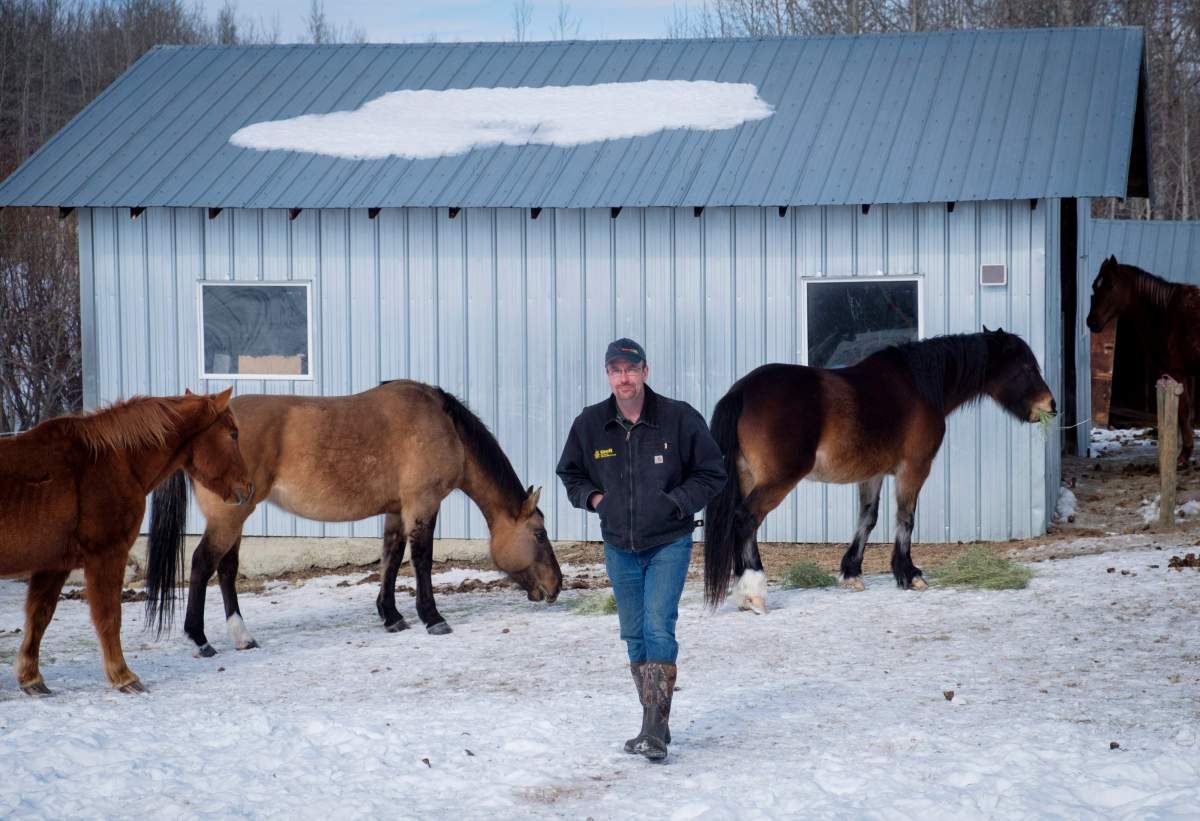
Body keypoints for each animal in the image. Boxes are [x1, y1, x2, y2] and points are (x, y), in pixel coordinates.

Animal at [0, 389, 252, 695]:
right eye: (233, 433)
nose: (248, 488)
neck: (113, 461)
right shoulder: (107, 555)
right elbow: (109, 618)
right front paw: (123, 676)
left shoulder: (54, 565)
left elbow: (39, 616)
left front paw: (31, 678)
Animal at [145, 380, 563, 658]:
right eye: (540, 534)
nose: (556, 587)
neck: (444, 427)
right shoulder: (422, 505)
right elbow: (422, 561)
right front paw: (431, 618)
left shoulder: (396, 510)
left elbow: (391, 559)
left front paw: (392, 616)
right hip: (229, 516)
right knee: (202, 564)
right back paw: (200, 640)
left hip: (237, 516)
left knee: (227, 570)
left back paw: (242, 637)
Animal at [703, 328, 1055, 613]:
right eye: (1026, 367)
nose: (1050, 405)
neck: (919, 387)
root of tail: (742, 391)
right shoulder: (913, 468)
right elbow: (906, 518)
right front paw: (909, 574)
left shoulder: (872, 474)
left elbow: (868, 519)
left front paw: (852, 573)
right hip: (777, 480)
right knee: (746, 519)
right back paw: (754, 593)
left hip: (748, 476)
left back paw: (744, 593)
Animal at [1086, 255, 1200, 464]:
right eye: (1094, 286)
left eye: (1110, 285)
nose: (1092, 322)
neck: (1165, 312)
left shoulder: (1177, 373)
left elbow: (1183, 412)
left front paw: (1183, 456)